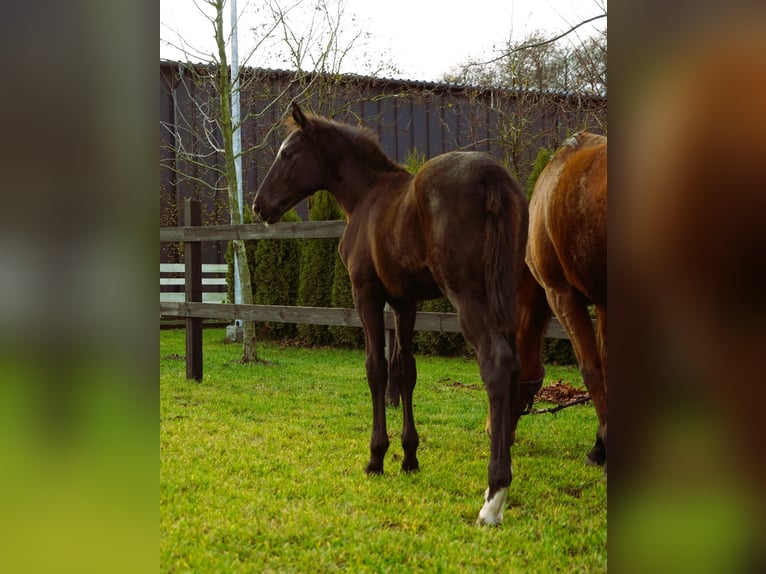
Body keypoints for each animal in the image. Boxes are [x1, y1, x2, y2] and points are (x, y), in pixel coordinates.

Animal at [252, 102, 529, 525]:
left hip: (468, 296)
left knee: (495, 362)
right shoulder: (404, 301)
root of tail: (492, 176)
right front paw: (410, 457)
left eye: (287, 153)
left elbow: (376, 369)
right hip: (506, 292)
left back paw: (493, 497)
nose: (259, 205)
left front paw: (376, 457)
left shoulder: (366, 293)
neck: (367, 197)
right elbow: (404, 371)